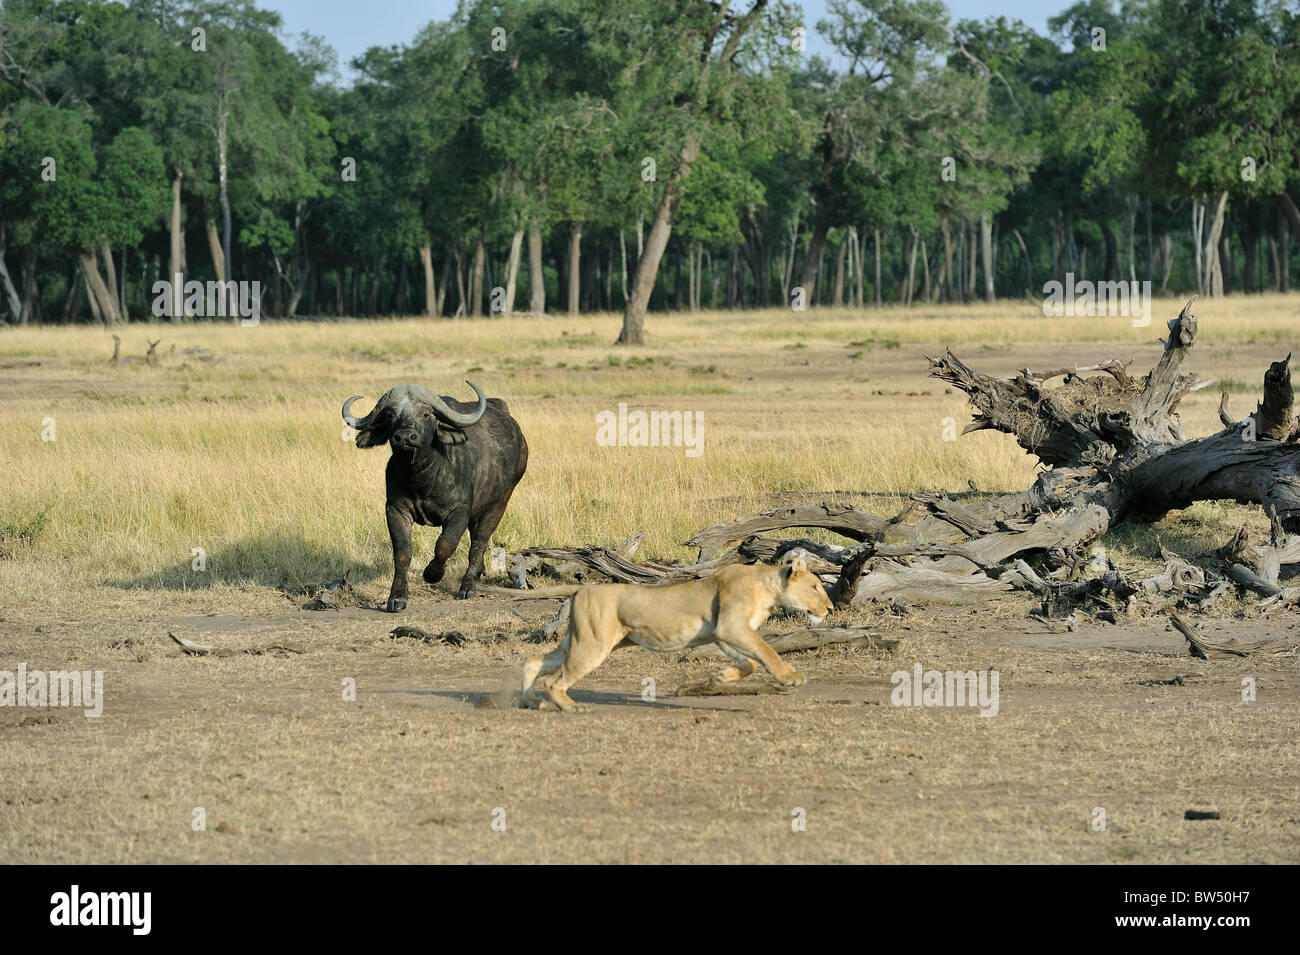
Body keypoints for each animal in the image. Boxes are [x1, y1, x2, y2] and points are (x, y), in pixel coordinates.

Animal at [520, 558, 833, 712]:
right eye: (816, 586)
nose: (830, 608)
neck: (768, 588)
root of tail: (582, 588)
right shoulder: (730, 626)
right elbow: (766, 650)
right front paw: (790, 677)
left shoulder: (723, 633)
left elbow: (752, 662)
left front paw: (721, 678)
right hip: (593, 644)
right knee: (554, 680)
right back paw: (569, 707)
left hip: (580, 639)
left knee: (534, 661)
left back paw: (530, 702)